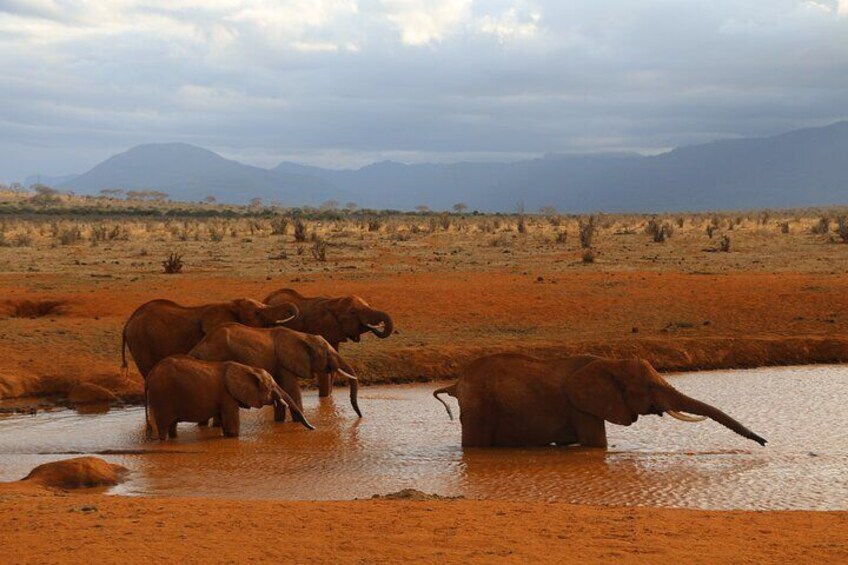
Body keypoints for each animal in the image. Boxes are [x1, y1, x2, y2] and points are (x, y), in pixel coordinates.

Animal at [144, 354, 314, 438]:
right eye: (271, 387)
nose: (314, 428)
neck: (247, 368)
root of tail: (150, 374)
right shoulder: (227, 396)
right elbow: (232, 427)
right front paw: (232, 437)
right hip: (162, 397)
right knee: (164, 427)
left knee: (172, 426)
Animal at [189, 324, 362, 420]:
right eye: (328, 353)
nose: (360, 417)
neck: (303, 336)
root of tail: (197, 348)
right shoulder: (284, 362)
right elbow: (291, 389)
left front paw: (279, 424)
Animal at [434, 352, 764, 450]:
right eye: (648, 386)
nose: (764, 443)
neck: (609, 362)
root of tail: (457, 382)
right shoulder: (581, 406)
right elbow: (596, 444)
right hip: (479, 406)